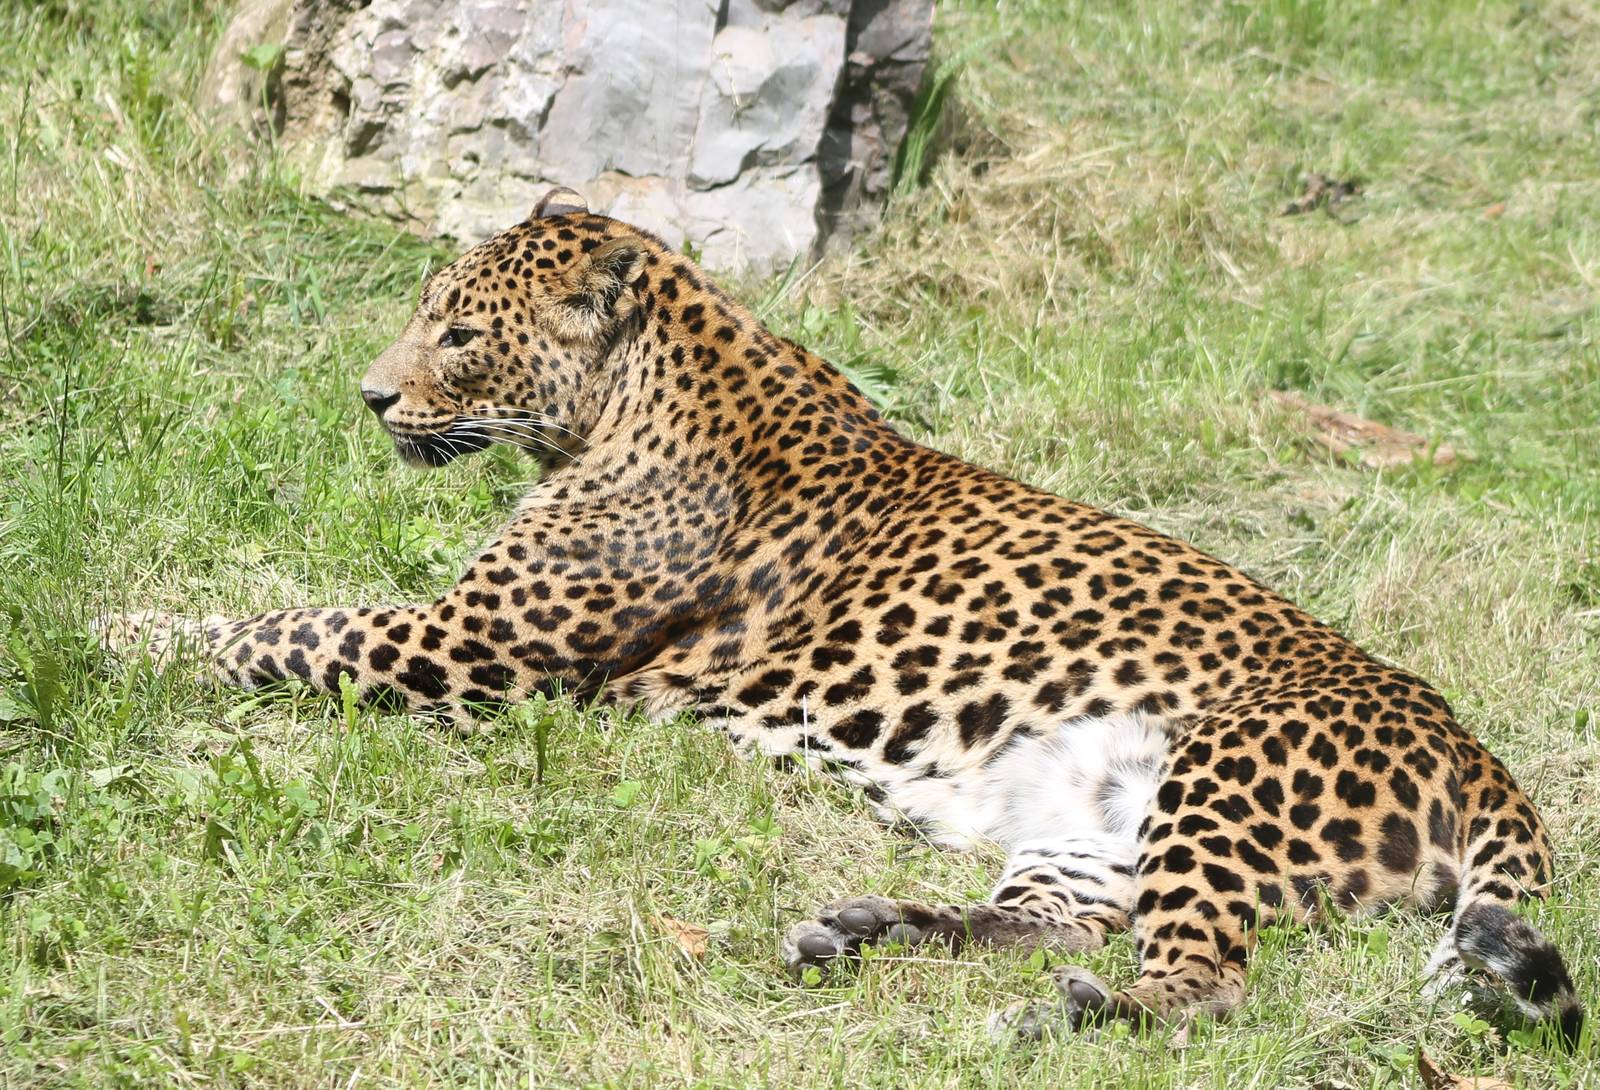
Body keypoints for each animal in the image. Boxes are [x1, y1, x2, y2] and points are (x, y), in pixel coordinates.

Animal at [100, 187, 1584, 1041]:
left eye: (460, 334)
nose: (368, 396)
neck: (632, 389)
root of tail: (1480, 754)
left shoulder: (465, 645)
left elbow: (285, 626)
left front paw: (117, 629)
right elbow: (288, 615)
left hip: (1225, 772)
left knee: (1207, 981)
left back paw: (1079, 1014)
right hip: (1089, 817)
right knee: (1065, 916)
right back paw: (870, 933)